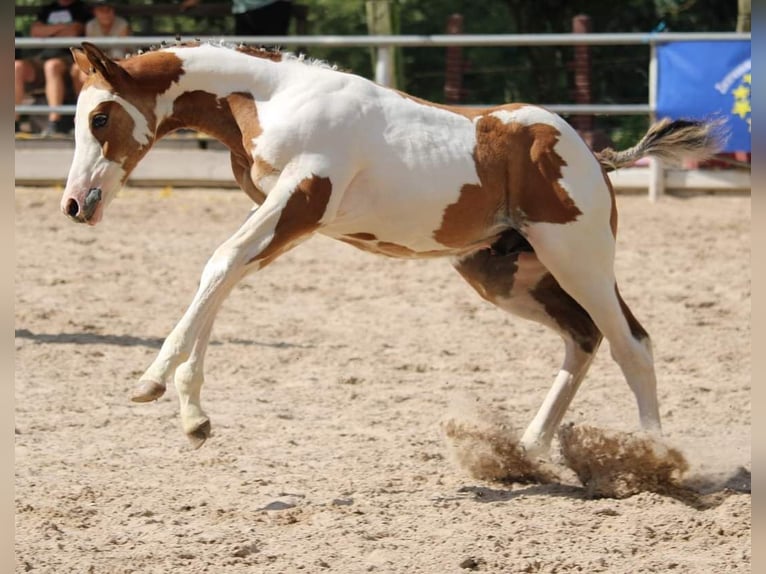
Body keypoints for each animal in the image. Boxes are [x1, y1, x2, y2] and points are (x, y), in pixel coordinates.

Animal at [63, 41, 724, 464]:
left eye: (100, 118)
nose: (75, 204)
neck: (274, 97)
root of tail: (595, 156)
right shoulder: (282, 217)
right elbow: (222, 275)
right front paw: (193, 416)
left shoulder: (299, 202)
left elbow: (220, 264)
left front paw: (152, 383)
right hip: (506, 272)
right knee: (582, 339)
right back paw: (527, 451)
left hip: (579, 259)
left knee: (630, 342)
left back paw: (658, 460)